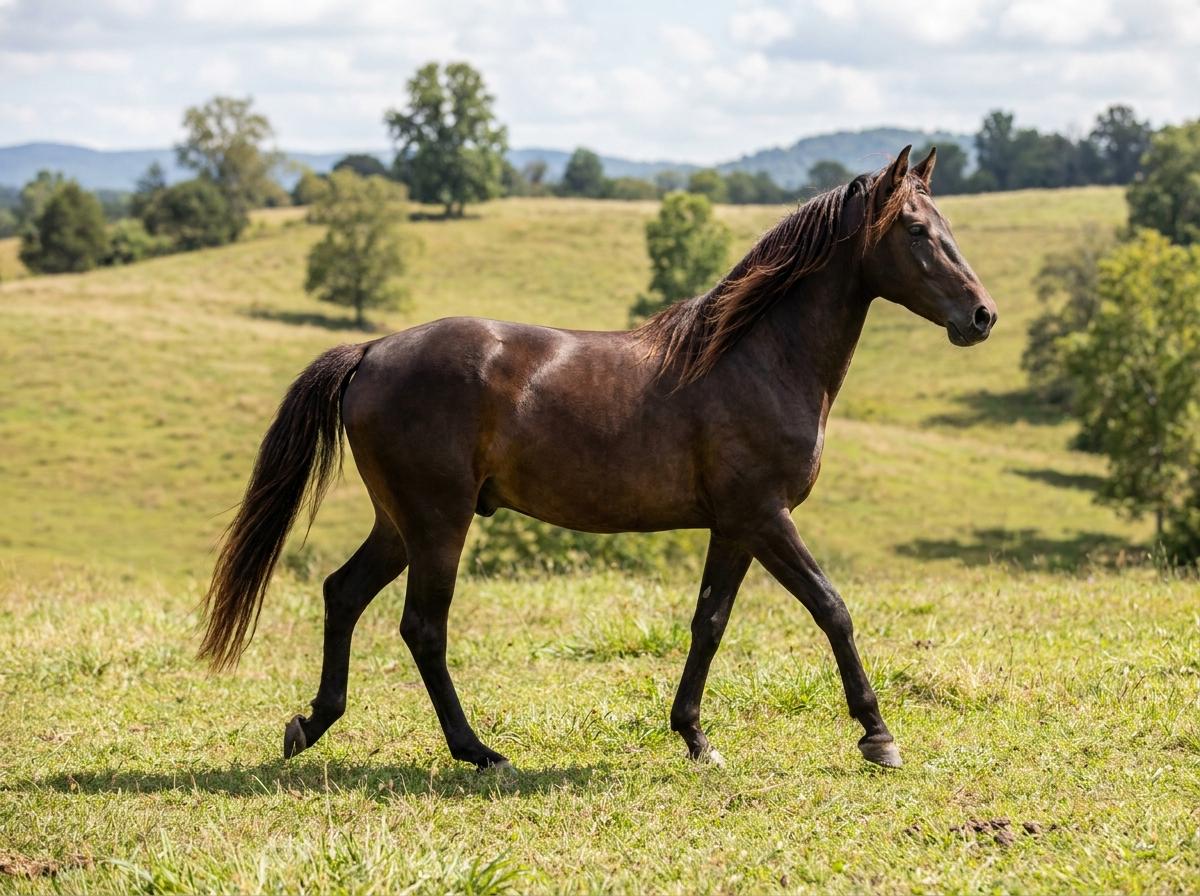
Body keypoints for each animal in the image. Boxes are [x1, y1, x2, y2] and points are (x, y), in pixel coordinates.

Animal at [200, 145, 997, 771]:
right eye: (917, 231)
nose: (982, 316)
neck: (757, 357)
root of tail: (370, 352)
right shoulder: (765, 516)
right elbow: (833, 609)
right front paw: (878, 735)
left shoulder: (734, 526)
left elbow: (709, 623)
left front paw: (696, 738)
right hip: (437, 523)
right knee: (422, 627)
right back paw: (477, 751)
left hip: (400, 524)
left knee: (342, 593)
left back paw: (310, 725)